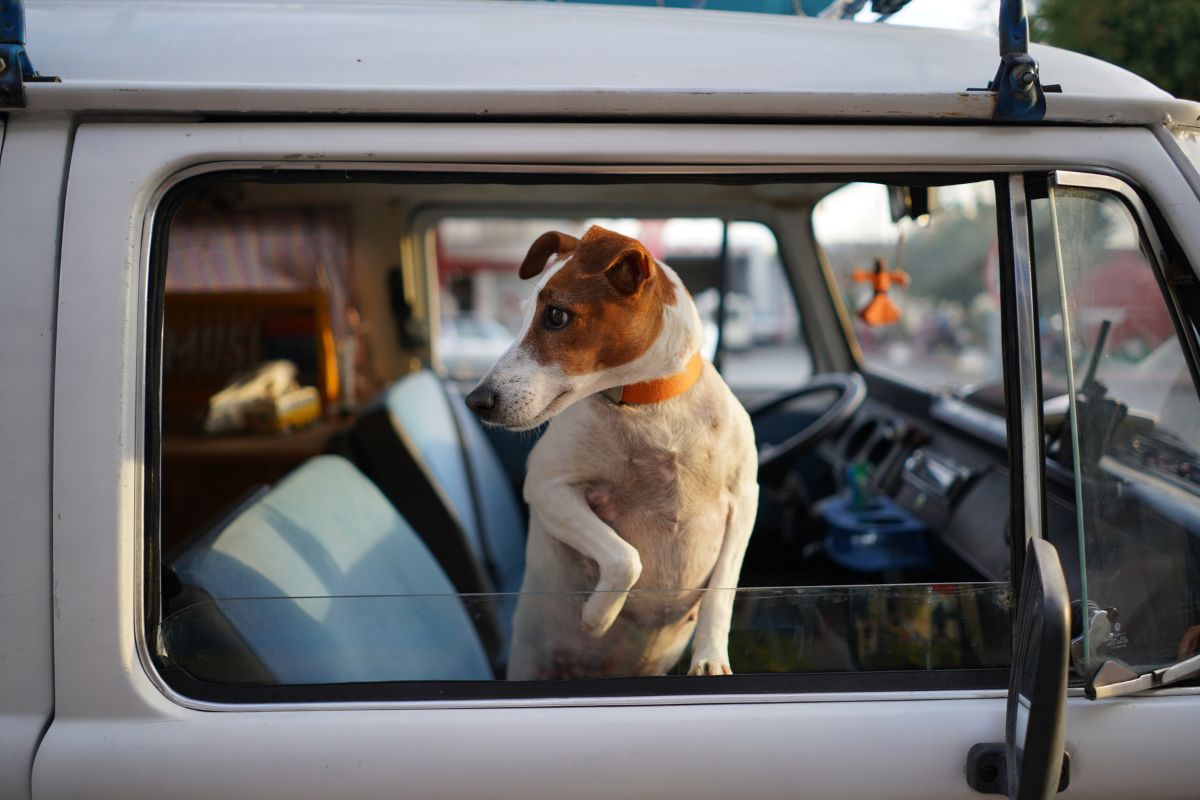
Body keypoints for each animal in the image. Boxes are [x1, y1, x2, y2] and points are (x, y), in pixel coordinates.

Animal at [468, 225, 758, 681]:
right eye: (524, 313)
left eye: (555, 315)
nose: (475, 401)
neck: (650, 408)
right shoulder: (548, 490)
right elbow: (626, 557)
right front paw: (597, 617)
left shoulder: (745, 499)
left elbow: (721, 590)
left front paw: (710, 658)